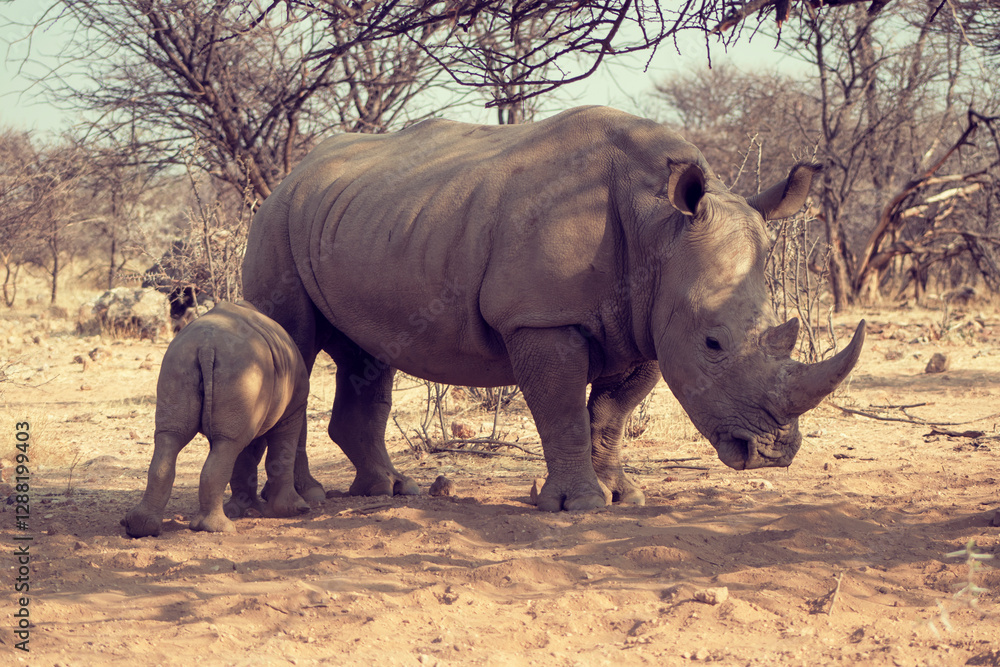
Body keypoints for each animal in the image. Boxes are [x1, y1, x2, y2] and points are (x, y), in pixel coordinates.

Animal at [122, 300, 311, 537]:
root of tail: (206, 345)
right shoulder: (294, 409)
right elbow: (281, 452)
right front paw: (294, 510)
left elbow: (243, 458)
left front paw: (244, 509)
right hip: (240, 368)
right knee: (228, 444)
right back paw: (218, 529)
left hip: (179, 361)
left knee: (173, 437)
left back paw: (140, 527)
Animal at [239, 106, 865, 512]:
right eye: (713, 343)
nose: (770, 455)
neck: (658, 227)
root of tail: (291, 174)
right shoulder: (541, 316)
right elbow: (561, 406)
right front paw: (580, 505)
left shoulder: (645, 322)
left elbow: (612, 413)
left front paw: (624, 496)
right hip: (277, 221)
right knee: (296, 344)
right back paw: (307, 499)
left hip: (367, 219)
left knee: (367, 356)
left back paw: (391, 491)